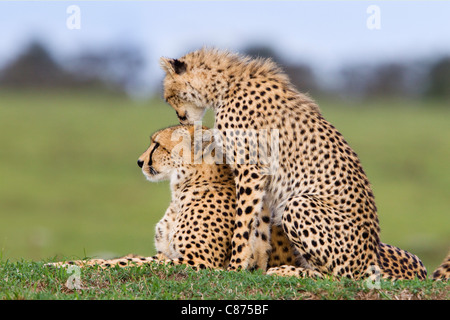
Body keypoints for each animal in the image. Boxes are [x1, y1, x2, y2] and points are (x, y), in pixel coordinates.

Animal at [160, 46, 388, 278]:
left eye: (169, 96)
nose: (181, 119)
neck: (226, 85)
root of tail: (370, 259)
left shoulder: (250, 170)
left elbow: (242, 223)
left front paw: (235, 267)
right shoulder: (262, 179)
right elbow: (259, 229)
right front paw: (255, 270)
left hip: (298, 204)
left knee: (335, 277)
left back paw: (286, 271)